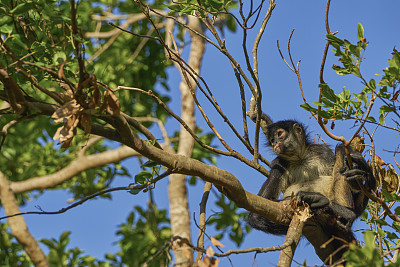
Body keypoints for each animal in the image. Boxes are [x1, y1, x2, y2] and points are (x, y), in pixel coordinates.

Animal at [248, 114, 376, 264]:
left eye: (279, 134)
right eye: (272, 140)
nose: (275, 143)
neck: (301, 159)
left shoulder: (322, 152)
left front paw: (367, 175)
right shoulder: (279, 164)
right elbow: (255, 216)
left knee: (341, 149)